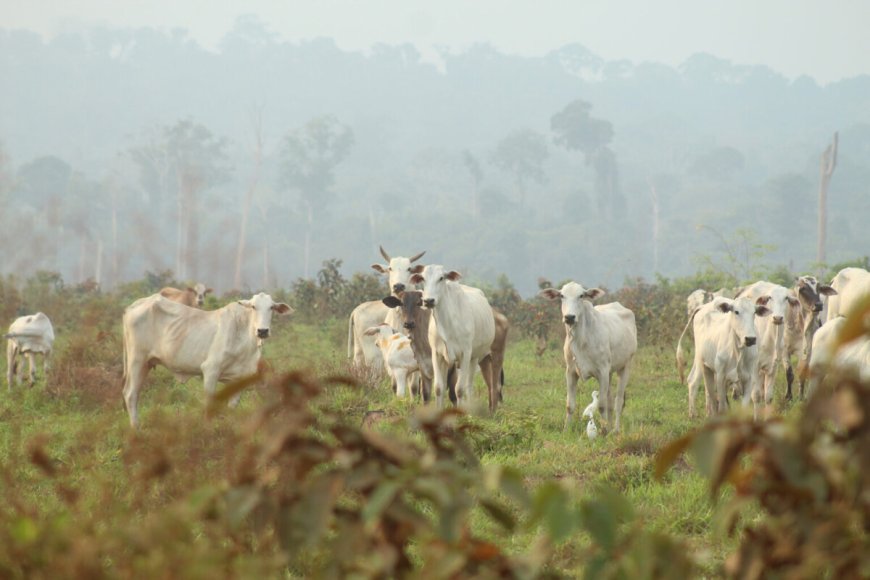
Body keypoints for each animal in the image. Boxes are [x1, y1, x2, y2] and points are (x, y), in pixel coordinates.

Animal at [122, 292, 292, 428]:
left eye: (271, 307)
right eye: (253, 307)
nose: (262, 331)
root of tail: (133, 306)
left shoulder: (240, 378)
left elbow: (232, 406)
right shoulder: (211, 370)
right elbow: (210, 403)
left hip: (146, 364)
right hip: (137, 361)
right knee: (131, 394)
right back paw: (136, 429)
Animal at [410, 266, 498, 410]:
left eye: (441, 278)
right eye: (422, 278)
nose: (429, 301)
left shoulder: (465, 354)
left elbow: (459, 389)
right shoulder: (437, 354)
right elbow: (439, 388)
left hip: (474, 357)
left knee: (468, 386)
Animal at [540, 284, 636, 432]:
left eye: (581, 295)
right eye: (562, 295)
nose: (569, 317)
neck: (580, 340)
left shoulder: (602, 372)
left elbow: (601, 405)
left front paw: (603, 431)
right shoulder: (570, 372)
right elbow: (570, 405)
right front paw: (566, 430)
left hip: (625, 366)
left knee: (618, 402)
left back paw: (615, 429)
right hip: (610, 372)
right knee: (610, 400)